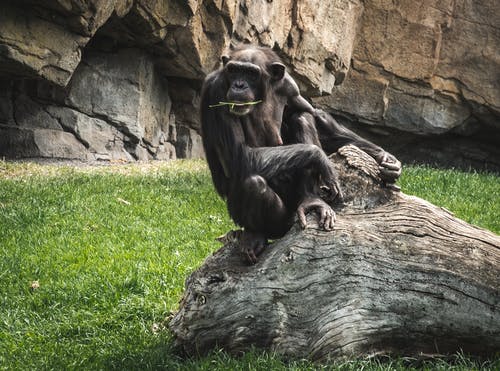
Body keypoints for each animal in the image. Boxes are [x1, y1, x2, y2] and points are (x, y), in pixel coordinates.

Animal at [201, 45, 400, 264]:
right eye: (234, 70)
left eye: (251, 73)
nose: (239, 85)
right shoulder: (217, 91)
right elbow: (238, 154)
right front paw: (321, 158)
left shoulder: (290, 86)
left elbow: (315, 116)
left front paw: (387, 159)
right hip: (278, 221)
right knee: (254, 184)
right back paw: (255, 235)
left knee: (301, 117)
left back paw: (312, 201)